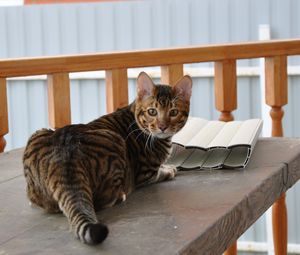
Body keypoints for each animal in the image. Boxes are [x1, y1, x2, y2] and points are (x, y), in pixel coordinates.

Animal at [22, 71, 192, 245]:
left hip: (38, 135)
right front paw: (169, 169)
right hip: (115, 141)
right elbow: (161, 172)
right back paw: (120, 195)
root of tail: (65, 154)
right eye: (152, 112)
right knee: (102, 200)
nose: (163, 126)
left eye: (173, 112)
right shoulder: (145, 174)